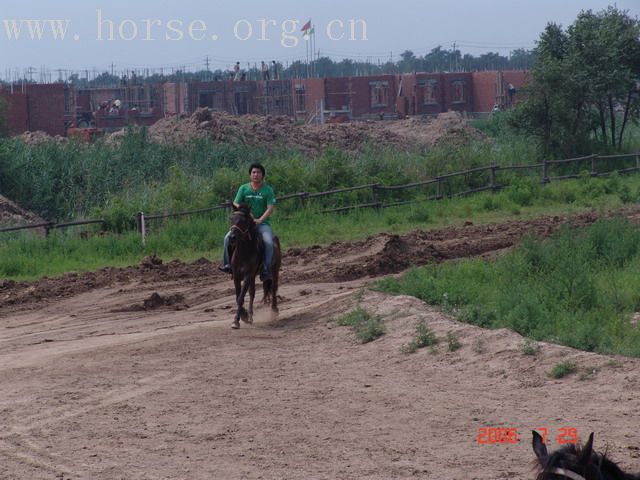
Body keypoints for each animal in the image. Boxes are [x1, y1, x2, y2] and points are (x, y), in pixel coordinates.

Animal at [229, 202, 282, 330]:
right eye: (231, 219)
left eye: (243, 221)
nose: (232, 237)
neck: (244, 252)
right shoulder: (237, 276)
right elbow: (239, 297)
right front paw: (244, 315)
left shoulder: (248, 275)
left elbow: (241, 297)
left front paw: (237, 321)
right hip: (253, 276)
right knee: (252, 293)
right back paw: (251, 315)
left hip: (275, 270)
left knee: (273, 289)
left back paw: (274, 311)